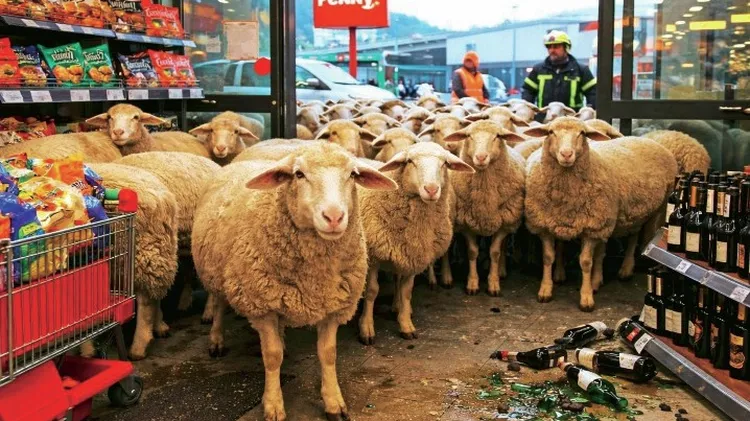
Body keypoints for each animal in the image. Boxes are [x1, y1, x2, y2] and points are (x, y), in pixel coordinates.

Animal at [86, 163, 178, 359]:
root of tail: (164, 198)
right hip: (158, 252)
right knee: (155, 293)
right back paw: (159, 326)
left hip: (141, 254)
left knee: (145, 303)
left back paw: (138, 347)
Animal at [191, 142, 398, 420]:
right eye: (299, 174)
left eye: (353, 175)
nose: (334, 217)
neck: (315, 277)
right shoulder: (262, 306)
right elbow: (272, 356)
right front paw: (273, 404)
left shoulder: (332, 306)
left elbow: (328, 354)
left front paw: (334, 402)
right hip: (219, 274)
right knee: (219, 304)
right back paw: (216, 340)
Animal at [358, 142, 475, 343]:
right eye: (410, 161)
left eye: (444, 163)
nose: (431, 189)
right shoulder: (372, 256)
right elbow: (372, 291)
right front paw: (366, 328)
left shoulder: (413, 254)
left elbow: (407, 291)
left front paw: (406, 325)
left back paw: (397, 307)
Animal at [442, 121, 526, 295]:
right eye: (469, 136)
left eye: (497, 136)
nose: (480, 157)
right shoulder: (466, 224)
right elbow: (472, 252)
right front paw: (472, 283)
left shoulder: (504, 224)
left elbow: (495, 252)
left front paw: (493, 283)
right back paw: (447, 278)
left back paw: (501, 271)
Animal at [523, 117, 677, 311]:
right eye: (551, 132)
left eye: (582, 133)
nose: (566, 154)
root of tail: (648, 139)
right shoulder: (545, 224)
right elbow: (548, 257)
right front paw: (545, 290)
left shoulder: (592, 227)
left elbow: (585, 262)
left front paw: (586, 298)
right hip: (626, 213)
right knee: (623, 239)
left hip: (658, 208)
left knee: (633, 240)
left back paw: (625, 270)